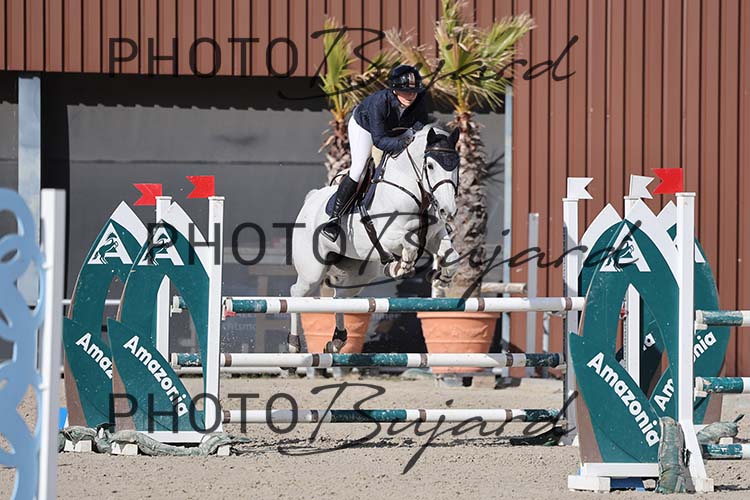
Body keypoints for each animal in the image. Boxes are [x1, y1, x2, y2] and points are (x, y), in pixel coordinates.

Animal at [288, 126, 461, 353]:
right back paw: (293, 344)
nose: (447, 210)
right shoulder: (387, 234)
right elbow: (410, 243)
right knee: (296, 293)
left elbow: (452, 257)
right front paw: (400, 267)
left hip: (360, 274)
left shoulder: (434, 235)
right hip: (312, 270)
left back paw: (337, 341)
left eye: (456, 164)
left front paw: (442, 278)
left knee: (339, 297)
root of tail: (311, 200)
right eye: (430, 166)